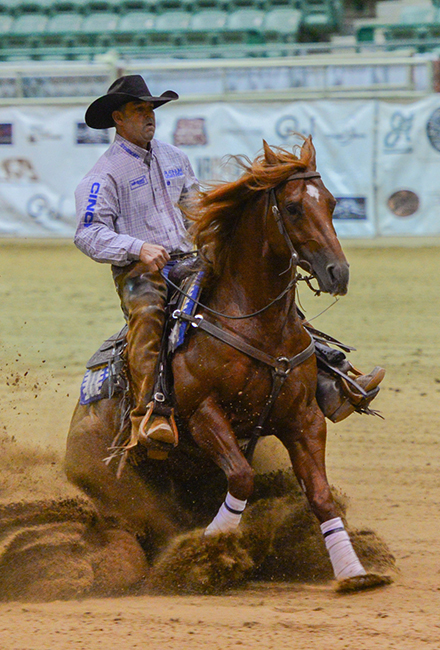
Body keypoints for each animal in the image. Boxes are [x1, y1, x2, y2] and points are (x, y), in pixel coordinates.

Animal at [65, 138, 384, 592]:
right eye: (292, 208)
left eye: (332, 202)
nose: (337, 272)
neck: (255, 323)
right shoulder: (204, 414)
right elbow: (242, 478)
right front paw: (212, 546)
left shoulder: (303, 418)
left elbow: (321, 496)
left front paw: (353, 571)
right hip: (112, 479)